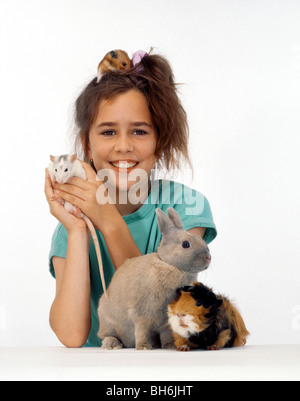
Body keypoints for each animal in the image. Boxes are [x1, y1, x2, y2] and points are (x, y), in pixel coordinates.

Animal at [96, 208, 211, 348]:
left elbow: (167, 334)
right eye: (185, 244)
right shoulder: (142, 314)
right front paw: (143, 347)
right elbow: (142, 330)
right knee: (106, 335)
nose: (208, 258)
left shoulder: (166, 320)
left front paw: (170, 346)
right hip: (108, 322)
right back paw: (112, 344)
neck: (170, 265)